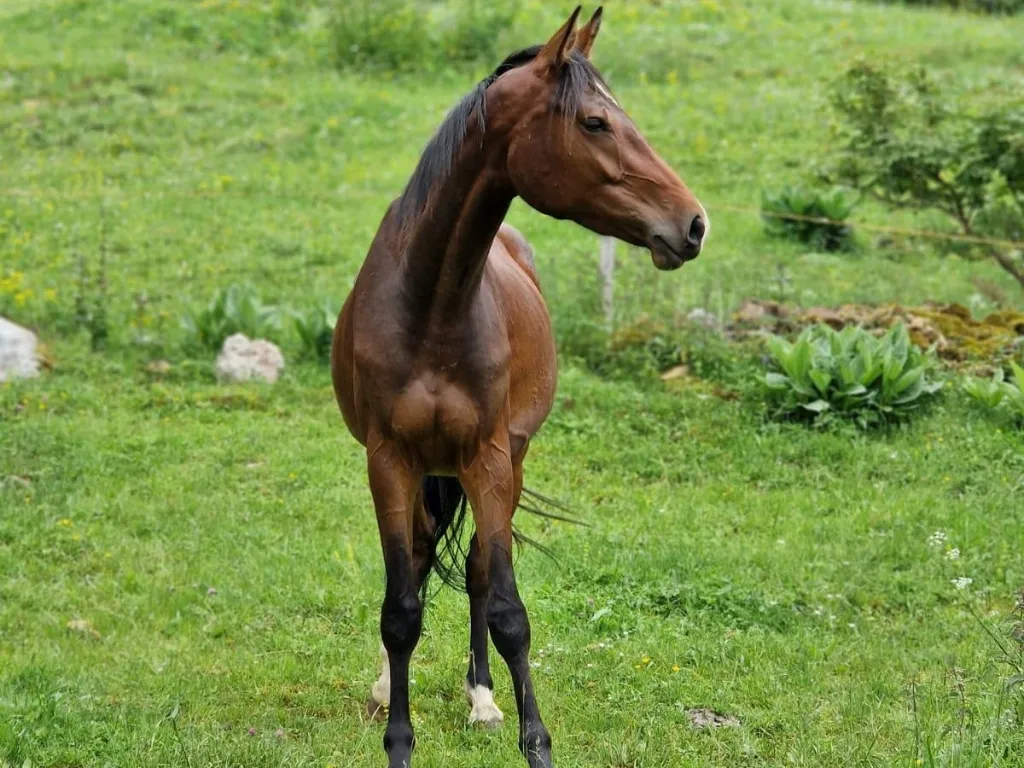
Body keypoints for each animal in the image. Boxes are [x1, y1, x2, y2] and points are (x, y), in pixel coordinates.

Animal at [331, 7, 707, 767]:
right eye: (595, 121)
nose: (692, 223)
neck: (432, 304)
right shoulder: (386, 461)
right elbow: (399, 608)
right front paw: (398, 739)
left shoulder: (491, 460)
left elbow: (506, 609)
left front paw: (536, 741)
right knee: (419, 560)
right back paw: (389, 687)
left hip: (508, 459)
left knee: (476, 568)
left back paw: (481, 699)